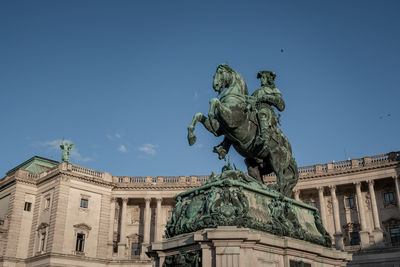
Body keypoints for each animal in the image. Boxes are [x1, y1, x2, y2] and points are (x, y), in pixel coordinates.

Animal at [187, 63, 296, 198]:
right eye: (214, 74)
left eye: (221, 73)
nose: (215, 85)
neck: (235, 99)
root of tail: (289, 150)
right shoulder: (220, 129)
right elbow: (198, 115)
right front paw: (191, 137)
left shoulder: (231, 119)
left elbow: (214, 101)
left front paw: (211, 115)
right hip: (252, 163)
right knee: (259, 180)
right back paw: (249, 182)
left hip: (275, 159)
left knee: (282, 180)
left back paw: (275, 191)